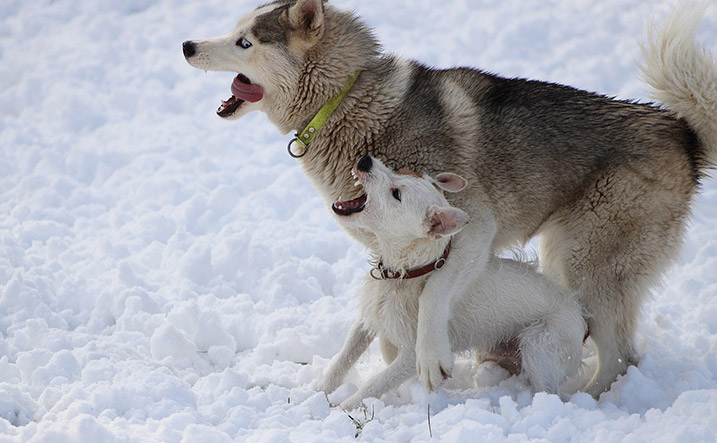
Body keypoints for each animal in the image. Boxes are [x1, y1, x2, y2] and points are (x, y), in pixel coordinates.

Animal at [320, 156, 588, 410]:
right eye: (399, 170)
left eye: (396, 194)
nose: (365, 160)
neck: (408, 272)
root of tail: (580, 315)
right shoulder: (370, 317)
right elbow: (345, 355)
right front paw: (319, 390)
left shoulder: (412, 355)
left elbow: (377, 382)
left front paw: (345, 408)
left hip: (538, 347)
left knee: (551, 391)